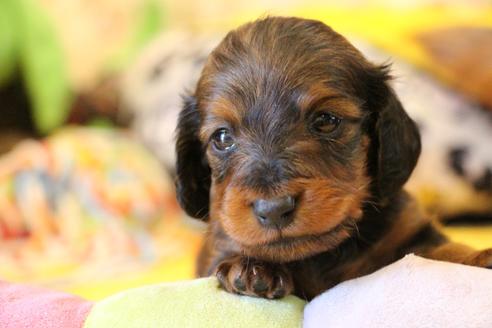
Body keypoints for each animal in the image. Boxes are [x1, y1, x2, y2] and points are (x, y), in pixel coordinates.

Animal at [174, 17, 492, 300]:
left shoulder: (410, 231)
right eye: (222, 138)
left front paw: (478, 256)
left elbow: (442, 253)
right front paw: (251, 269)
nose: (274, 209)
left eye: (326, 120)